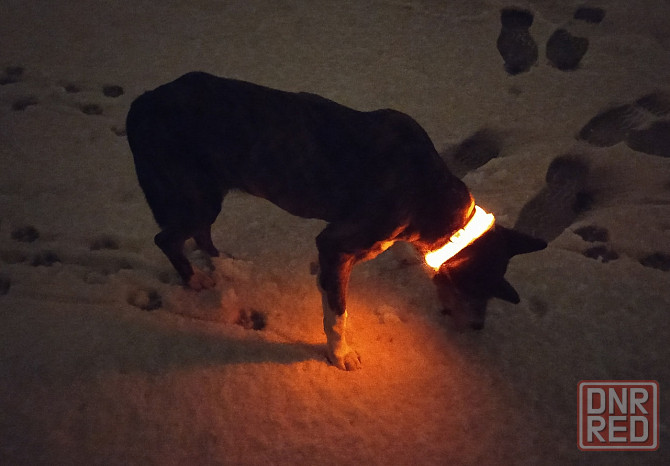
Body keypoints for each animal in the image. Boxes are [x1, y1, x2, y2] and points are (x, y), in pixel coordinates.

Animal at [126, 73, 544, 370]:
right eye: (478, 289)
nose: (477, 328)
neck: (429, 193)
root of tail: (140, 103)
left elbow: (334, 298)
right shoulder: (335, 243)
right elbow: (338, 312)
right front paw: (340, 355)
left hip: (210, 191)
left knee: (199, 233)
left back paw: (224, 263)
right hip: (194, 193)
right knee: (168, 238)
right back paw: (194, 279)